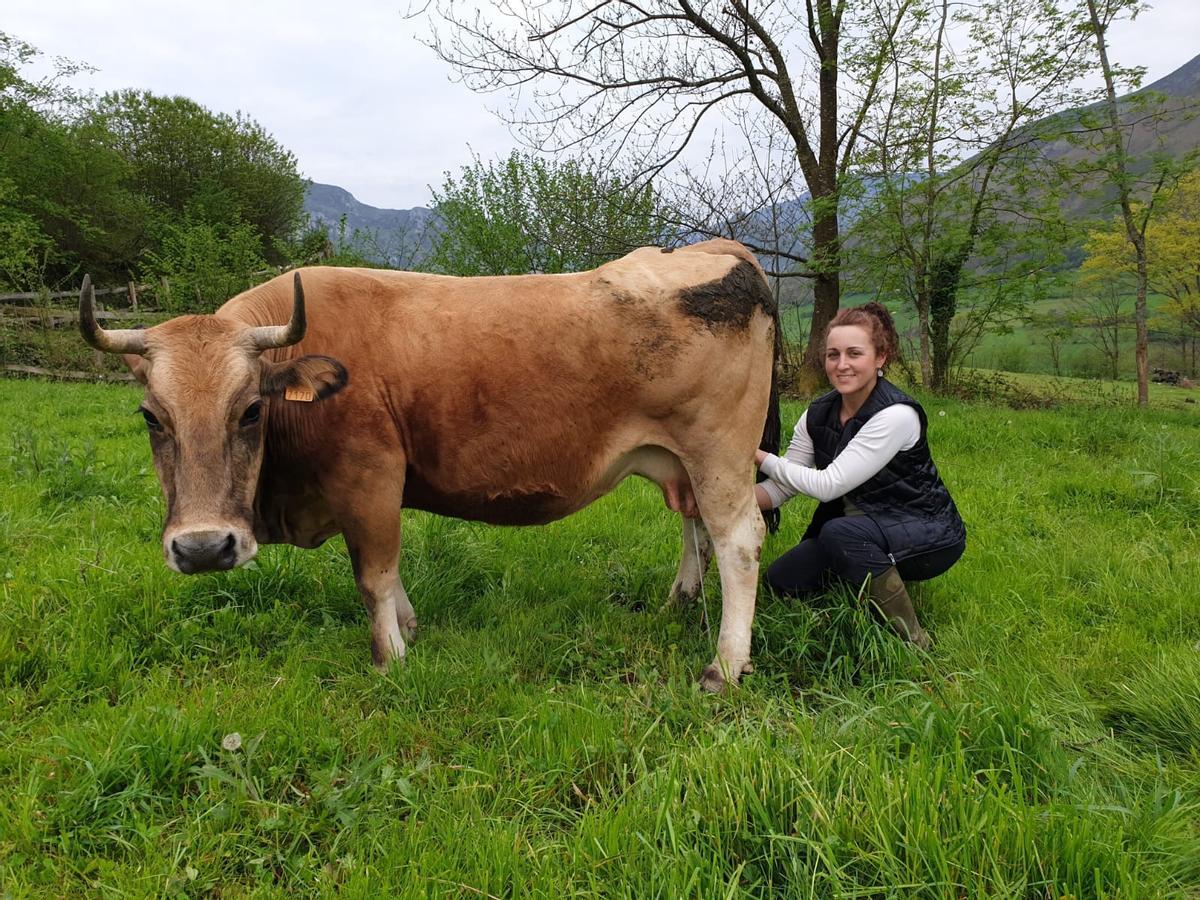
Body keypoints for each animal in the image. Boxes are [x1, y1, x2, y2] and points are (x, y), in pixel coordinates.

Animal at [80, 239, 780, 691]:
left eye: (251, 409)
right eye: (151, 416)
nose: (203, 548)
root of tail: (714, 249)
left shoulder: (368, 477)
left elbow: (372, 574)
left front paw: (390, 659)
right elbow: (388, 577)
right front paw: (410, 629)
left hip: (718, 452)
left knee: (739, 540)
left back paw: (725, 666)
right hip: (681, 461)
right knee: (695, 528)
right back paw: (679, 603)